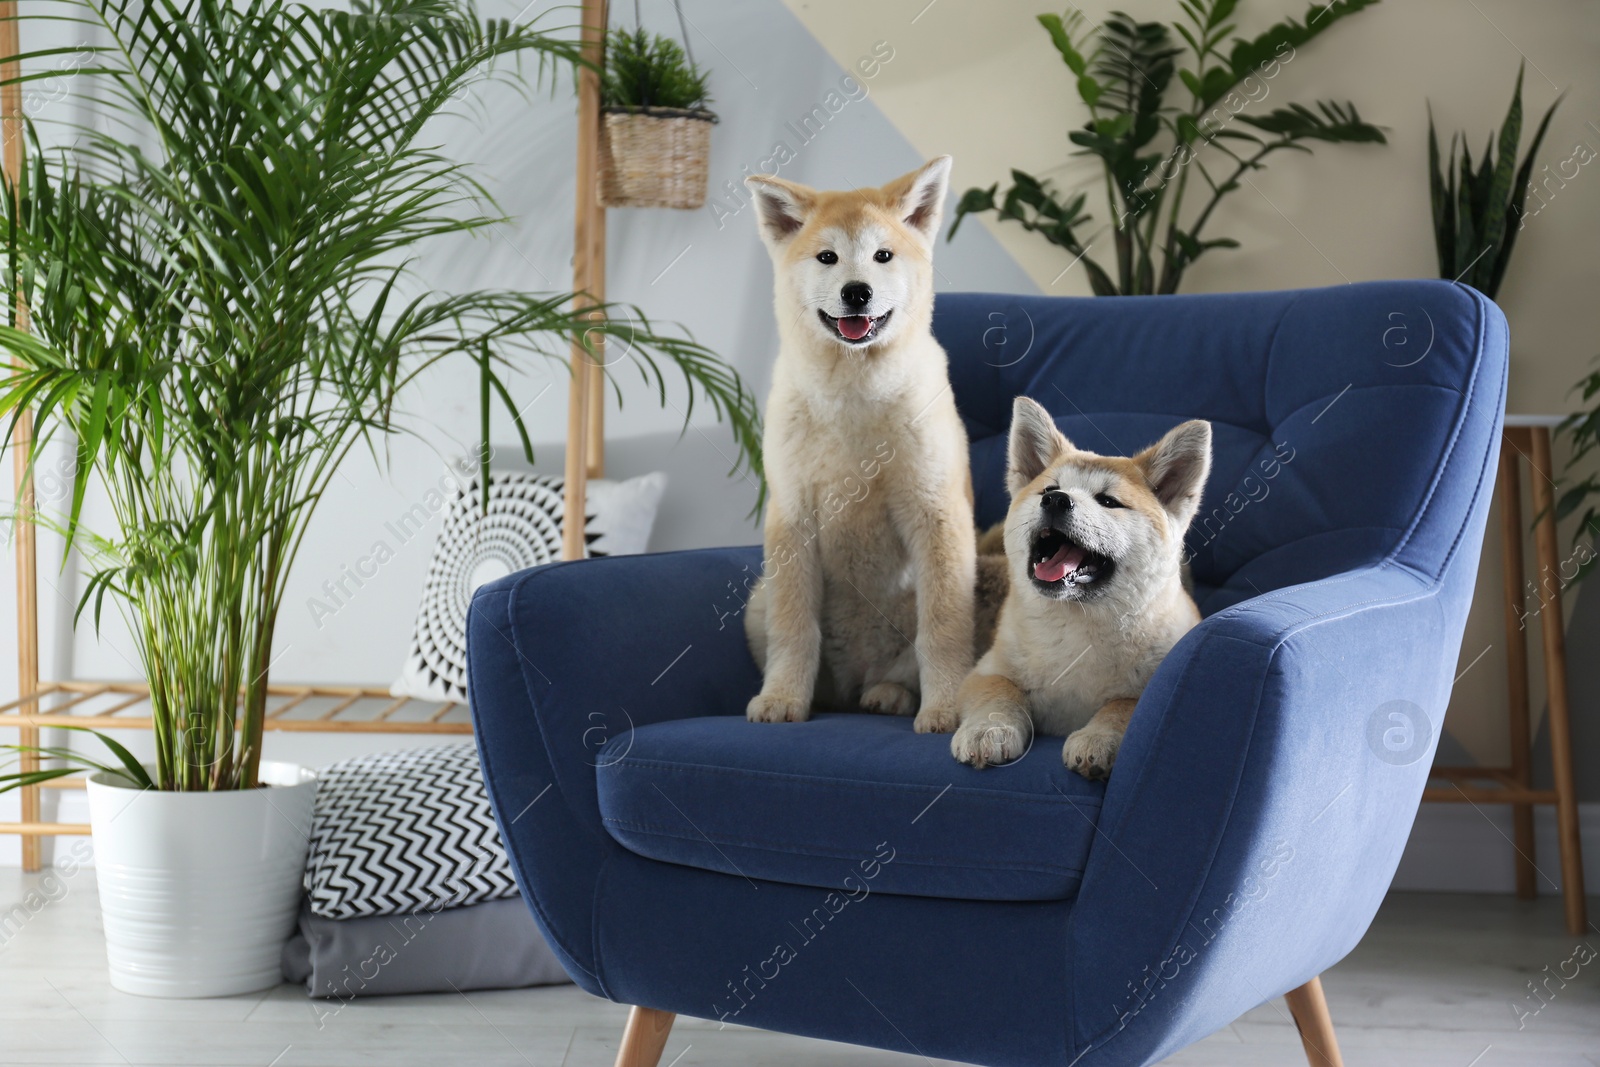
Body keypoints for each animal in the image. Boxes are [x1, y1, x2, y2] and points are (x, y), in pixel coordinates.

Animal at [947, 396, 1209, 780]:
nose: (1056, 500)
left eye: (1108, 501)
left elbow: (1123, 706)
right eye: (1048, 489)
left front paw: (1097, 739)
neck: (1076, 626)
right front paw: (988, 730)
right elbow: (999, 693)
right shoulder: (986, 671)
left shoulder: (1147, 687)